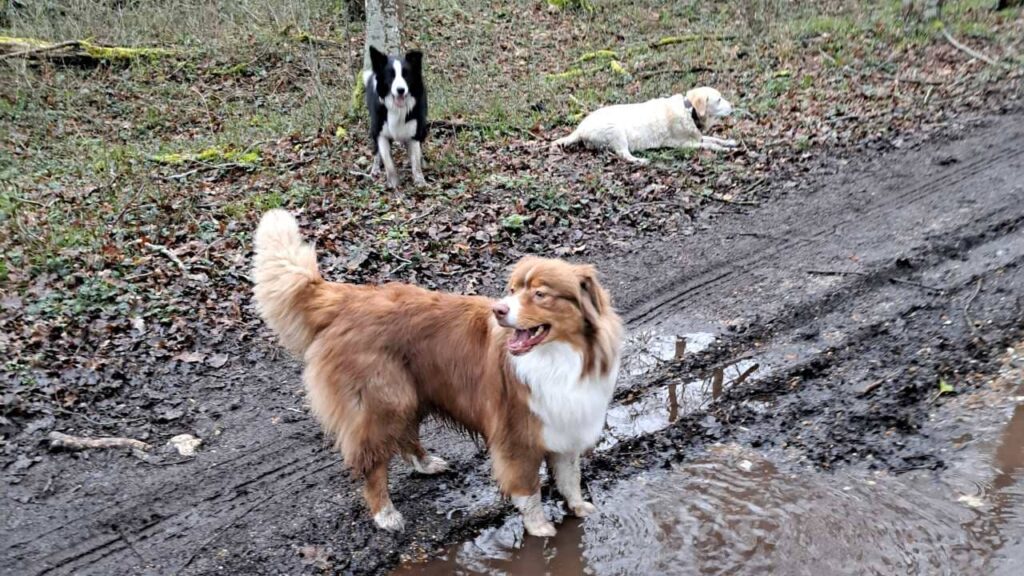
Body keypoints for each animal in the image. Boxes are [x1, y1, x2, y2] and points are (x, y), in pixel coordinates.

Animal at [253, 210, 622, 532]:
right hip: (385, 400)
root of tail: (348, 297)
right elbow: (528, 490)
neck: (557, 356)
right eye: (513, 290)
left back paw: (427, 463)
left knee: (405, 436)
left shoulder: (563, 425)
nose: (498, 309)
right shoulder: (517, 435)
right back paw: (385, 514)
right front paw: (540, 528)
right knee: (372, 461)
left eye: (540, 294)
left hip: (410, 391)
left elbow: (570, 477)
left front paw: (578, 507)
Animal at [364, 46, 428, 188]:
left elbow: (416, 162)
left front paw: (420, 181)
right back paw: (375, 169)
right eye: (391, 75)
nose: (401, 90)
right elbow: (388, 161)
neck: (397, 109)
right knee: (376, 151)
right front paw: (393, 183)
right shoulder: (381, 133)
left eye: (406, 74)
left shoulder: (414, 132)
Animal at [552, 85, 737, 162]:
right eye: (719, 99)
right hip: (616, 132)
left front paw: (729, 142)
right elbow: (710, 145)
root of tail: (580, 128)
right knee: (624, 155)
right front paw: (724, 150)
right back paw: (641, 160)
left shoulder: (697, 137)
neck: (689, 111)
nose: (733, 106)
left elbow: (713, 139)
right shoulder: (685, 144)